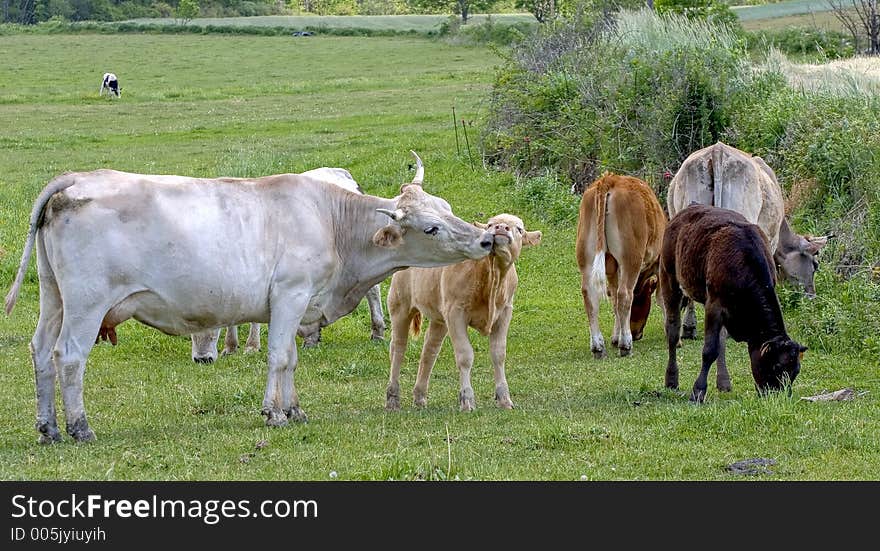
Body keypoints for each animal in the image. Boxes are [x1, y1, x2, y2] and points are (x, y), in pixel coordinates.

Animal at [189, 168, 384, 366]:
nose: (201, 359)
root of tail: (339, 171)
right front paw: (230, 347)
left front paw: (252, 346)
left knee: (373, 290)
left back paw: (377, 331)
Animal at [386, 213, 544, 412]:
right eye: (490, 225)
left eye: (519, 229)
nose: (501, 227)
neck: (492, 276)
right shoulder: (456, 313)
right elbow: (465, 355)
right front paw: (467, 399)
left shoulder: (505, 312)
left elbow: (498, 354)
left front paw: (504, 398)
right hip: (400, 305)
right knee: (398, 348)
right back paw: (392, 399)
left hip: (439, 319)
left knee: (429, 350)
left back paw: (420, 397)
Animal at [576, 175, 664, 360]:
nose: (637, 334)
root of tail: (609, 179)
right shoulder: (660, 263)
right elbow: (661, 297)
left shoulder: (612, 270)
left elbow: (614, 298)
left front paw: (615, 337)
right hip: (630, 259)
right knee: (625, 294)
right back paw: (626, 345)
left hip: (587, 259)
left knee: (590, 296)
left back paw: (598, 347)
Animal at [656, 205, 808, 404]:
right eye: (776, 367)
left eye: (795, 371)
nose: (779, 397)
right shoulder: (714, 305)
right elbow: (709, 350)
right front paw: (698, 391)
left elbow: (719, 343)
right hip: (669, 277)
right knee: (673, 330)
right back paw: (671, 379)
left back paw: (723, 382)